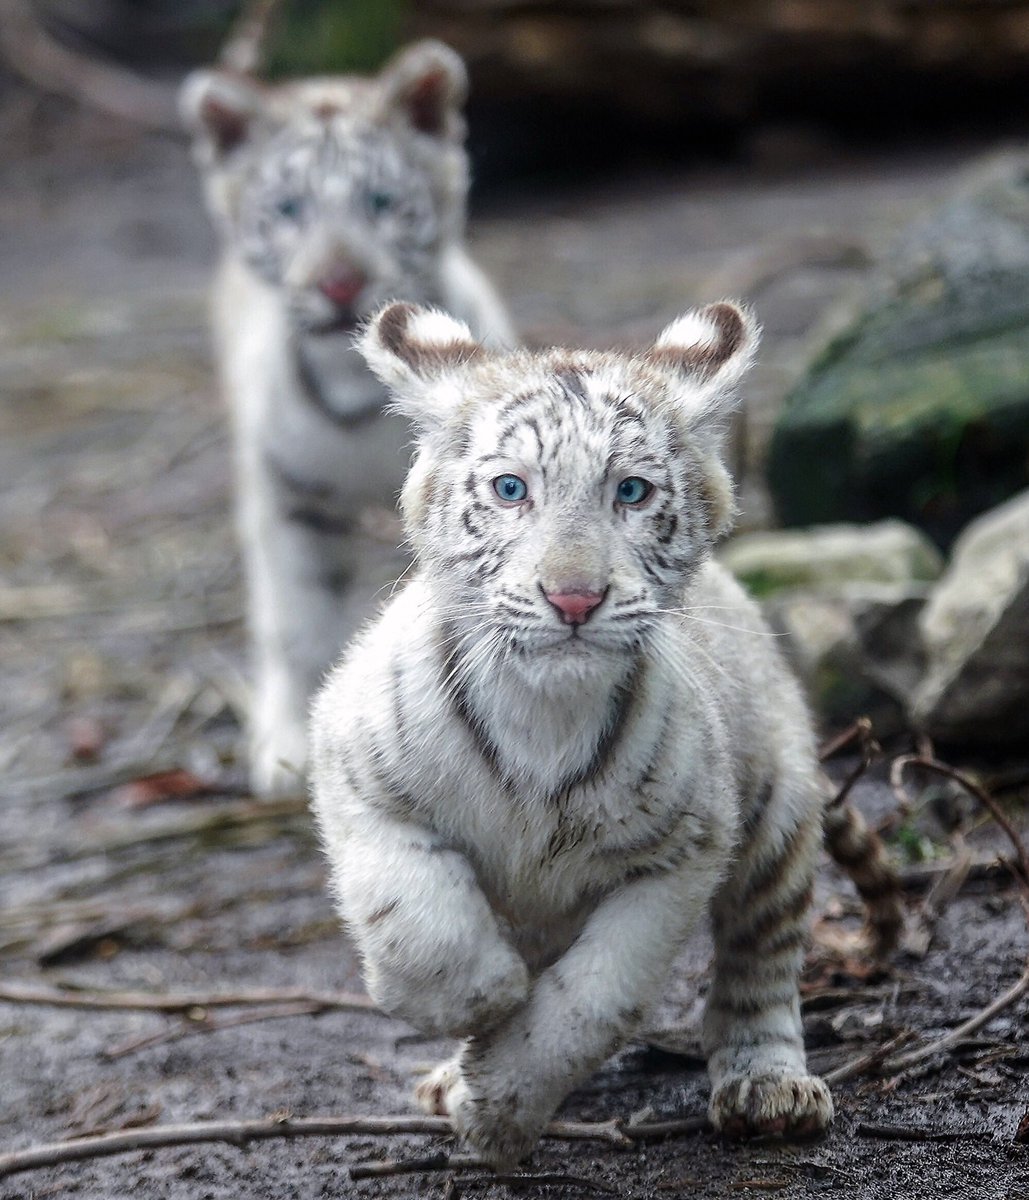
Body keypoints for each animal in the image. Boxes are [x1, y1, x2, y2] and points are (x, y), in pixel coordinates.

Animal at [179, 40, 515, 796]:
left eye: (382, 202)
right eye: (288, 208)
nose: (339, 283)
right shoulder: (285, 496)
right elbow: (296, 621)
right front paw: (287, 751)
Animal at [308, 300, 903, 1169]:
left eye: (630, 491)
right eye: (511, 489)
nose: (574, 598)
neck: (543, 706)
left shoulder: (682, 853)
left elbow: (592, 999)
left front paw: (500, 1106)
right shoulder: (356, 777)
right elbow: (418, 925)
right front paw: (479, 1005)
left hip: (776, 810)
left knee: (758, 963)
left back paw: (768, 1089)